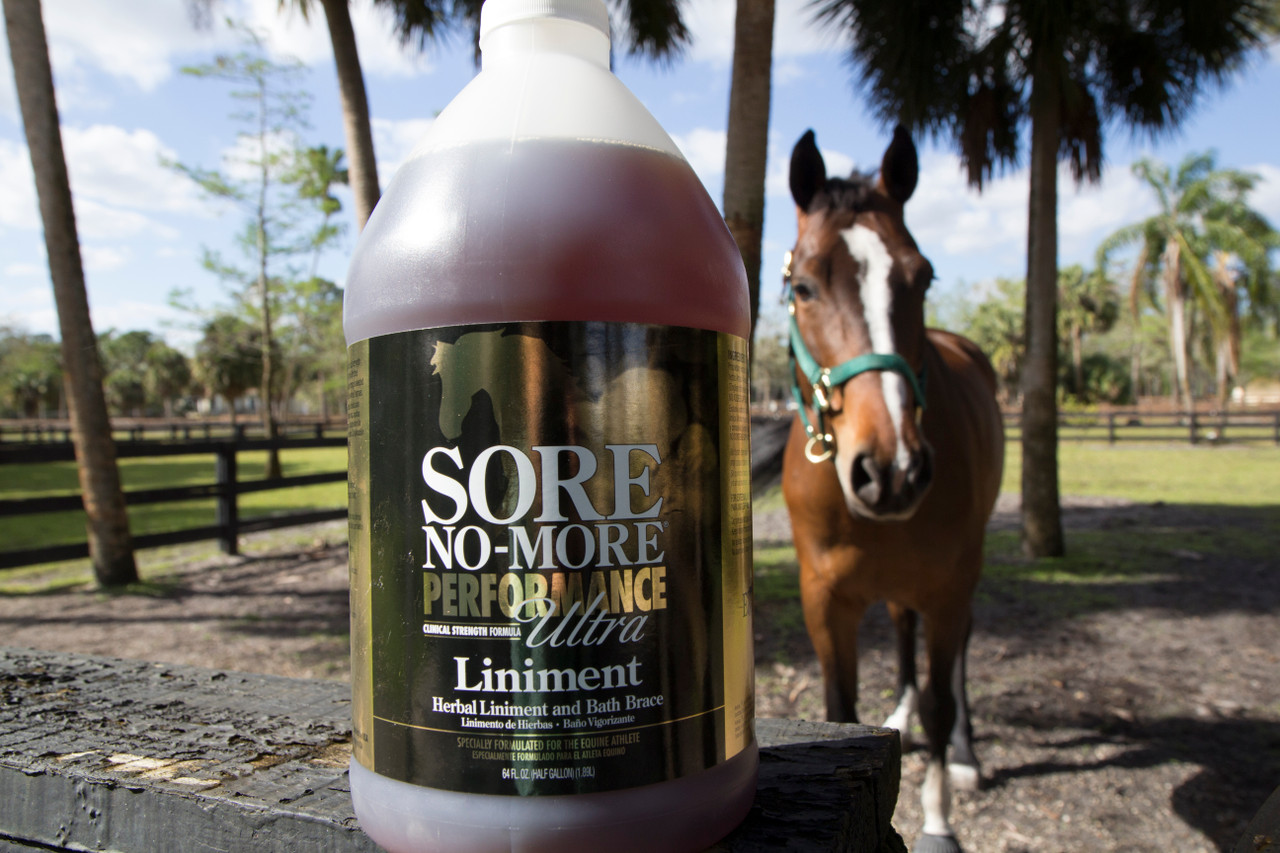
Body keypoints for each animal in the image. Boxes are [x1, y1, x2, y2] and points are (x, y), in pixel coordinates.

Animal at [782, 127, 1005, 853]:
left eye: (923, 275)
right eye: (803, 285)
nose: (891, 469)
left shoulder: (949, 585)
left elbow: (942, 699)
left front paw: (937, 818)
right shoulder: (825, 600)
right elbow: (840, 707)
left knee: (954, 664)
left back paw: (963, 753)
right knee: (904, 629)